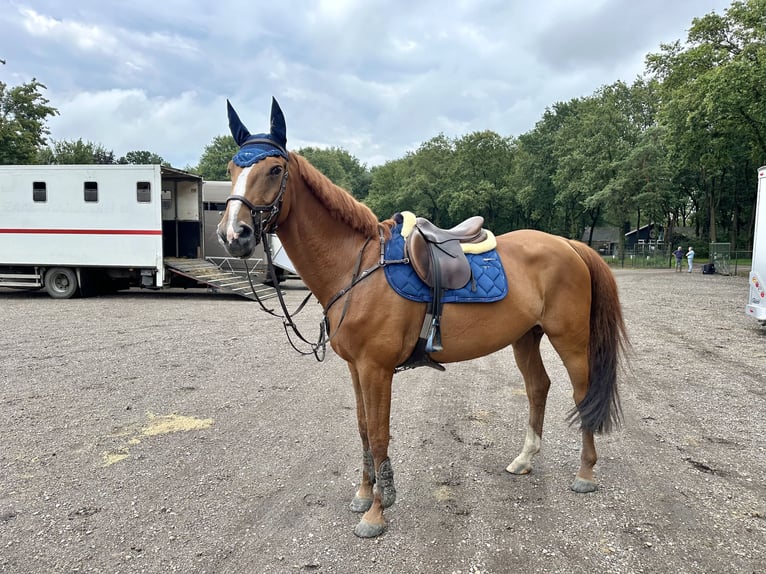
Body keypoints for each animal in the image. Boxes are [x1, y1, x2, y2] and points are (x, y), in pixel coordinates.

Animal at [216, 100, 632, 540]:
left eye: (275, 169)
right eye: (231, 167)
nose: (234, 234)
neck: (357, 266)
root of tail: (570, 245)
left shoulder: (377, 368)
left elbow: (379, 434)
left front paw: (377, 512)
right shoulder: (356, 368)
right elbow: (363, 429)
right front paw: (364, 495)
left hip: (569, 338)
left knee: (582, 393)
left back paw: (585, 473)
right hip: (525, 337)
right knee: (539, 388)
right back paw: (524, 459)